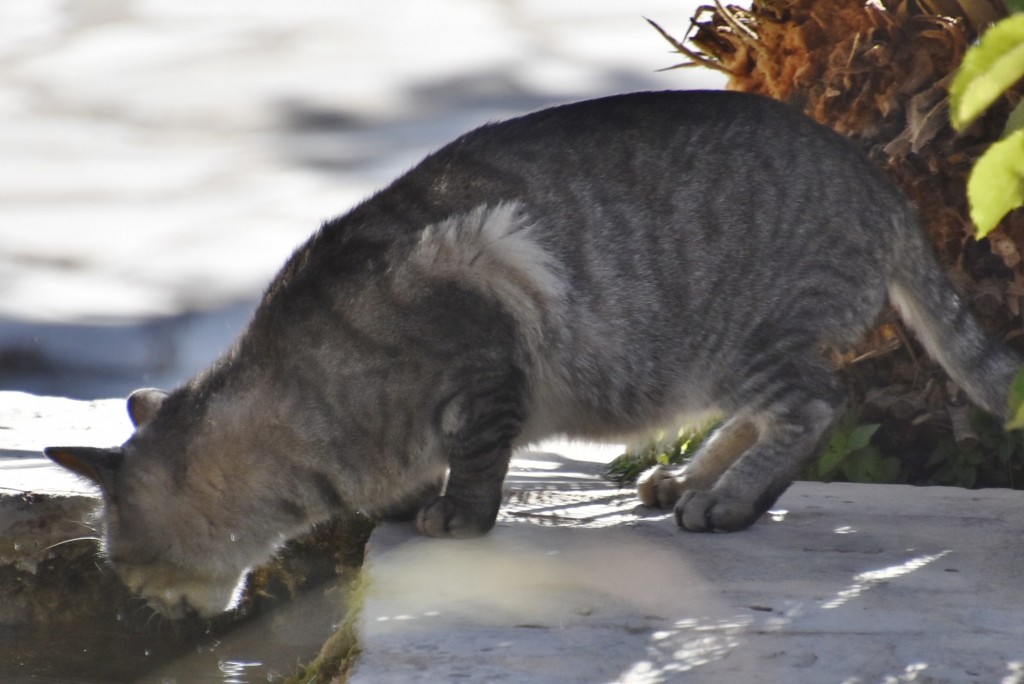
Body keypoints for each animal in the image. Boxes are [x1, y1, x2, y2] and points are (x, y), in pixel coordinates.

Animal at [46, 90, 1015, 618]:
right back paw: (686, 477)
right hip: (724, 356)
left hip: (746, 336)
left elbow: (479, 461)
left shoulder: (488, 321)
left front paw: (451, 514)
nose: (135, 601)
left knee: (816, 404)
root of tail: (885, 188)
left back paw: (727, 500)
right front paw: (412, 499)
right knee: (766, 411)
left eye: (118, 561)